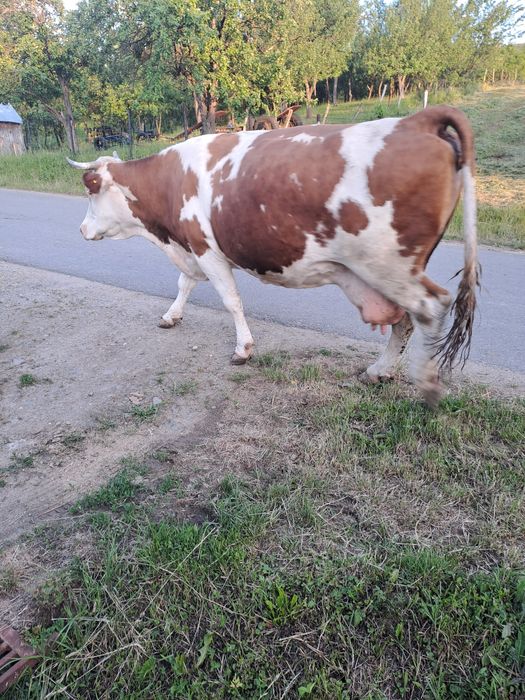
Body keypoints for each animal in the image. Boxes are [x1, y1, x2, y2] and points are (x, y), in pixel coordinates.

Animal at [68, 106, 479, 406]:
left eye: (90, 191)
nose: (81, 230)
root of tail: (415, 120)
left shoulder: (205, 248)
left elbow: (231, 300)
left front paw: (243, 349)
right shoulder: (191, 248)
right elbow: (184, 283)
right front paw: (171, 316)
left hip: (389, 266)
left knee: (431, 307)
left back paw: (426, 386)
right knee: (405, 321)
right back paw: (379, 371)